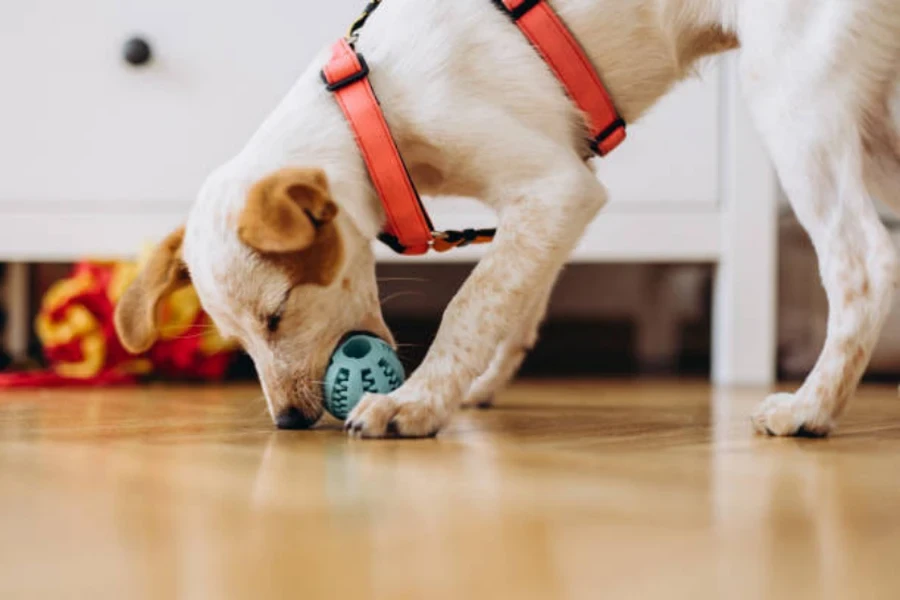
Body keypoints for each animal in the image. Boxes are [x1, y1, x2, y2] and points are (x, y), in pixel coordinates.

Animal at [112, 1, 900, 440]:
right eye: (238, 340)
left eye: (277, 315)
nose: (288, 422)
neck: (371, 105)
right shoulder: (553, 195)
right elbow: (516, 296)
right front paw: (476, 384)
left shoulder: (555, 188)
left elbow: (472, 303)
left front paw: (418, 400)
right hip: (874, 125)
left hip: (795, 98)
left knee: (865, 262)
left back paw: (811, 408)